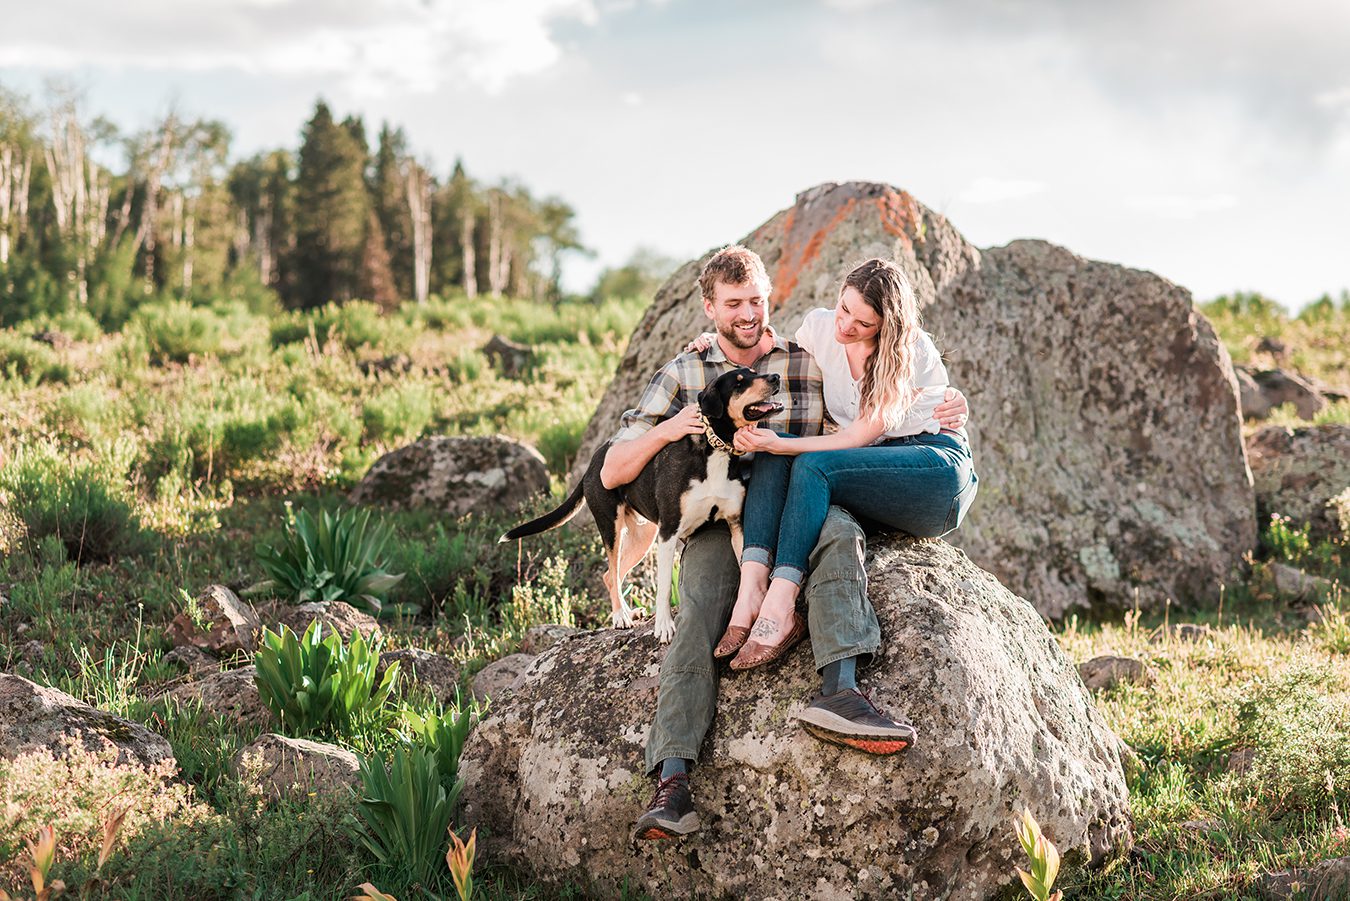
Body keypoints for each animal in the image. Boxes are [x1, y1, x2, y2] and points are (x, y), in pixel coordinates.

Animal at [504, 364, 783, 640]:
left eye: (754, 372)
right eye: (739, 383)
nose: (775, 377)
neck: (716, 449)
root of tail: (595, 461)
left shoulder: (736, 525)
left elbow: (746, 567)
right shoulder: (669, 531)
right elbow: (663, 587)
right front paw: (664, 625)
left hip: (642, 536)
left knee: (610, 574)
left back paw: (628, 611)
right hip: (612, 527)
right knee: (613, 568)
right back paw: (620, 616)